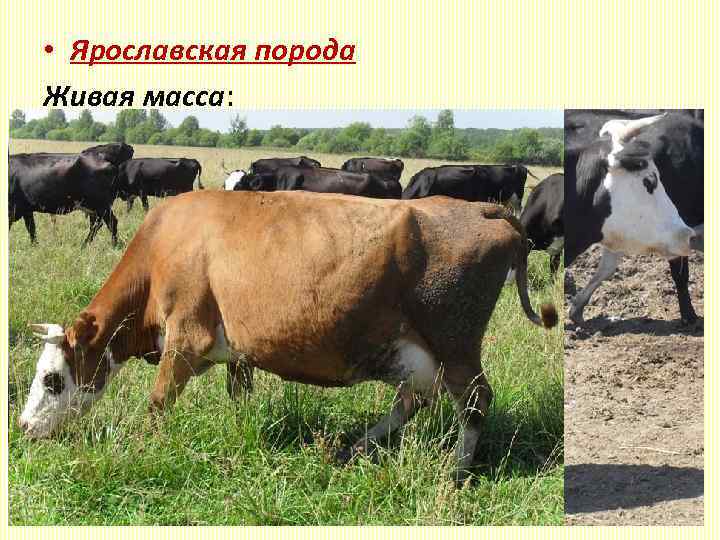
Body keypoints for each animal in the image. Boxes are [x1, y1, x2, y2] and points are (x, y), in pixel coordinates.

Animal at [18, 190, 557, 485]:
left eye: (51, 380)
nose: (23, 428)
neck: (163, 249)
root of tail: (483, 210)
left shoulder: (185, 337)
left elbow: (158, 402)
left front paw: (141, 447)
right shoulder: (236, 350)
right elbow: (239, 394)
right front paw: (241, 431)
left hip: (455, 345)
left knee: (475, 402)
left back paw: (457, 472)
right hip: (417, 354)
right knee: (411, 401)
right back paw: (352, 449)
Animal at [564, 111, 703, 325]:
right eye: (649, 181)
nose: (689, 235)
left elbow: (606, 268)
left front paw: (577, 309)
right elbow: (680, 274)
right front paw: (689, 316)